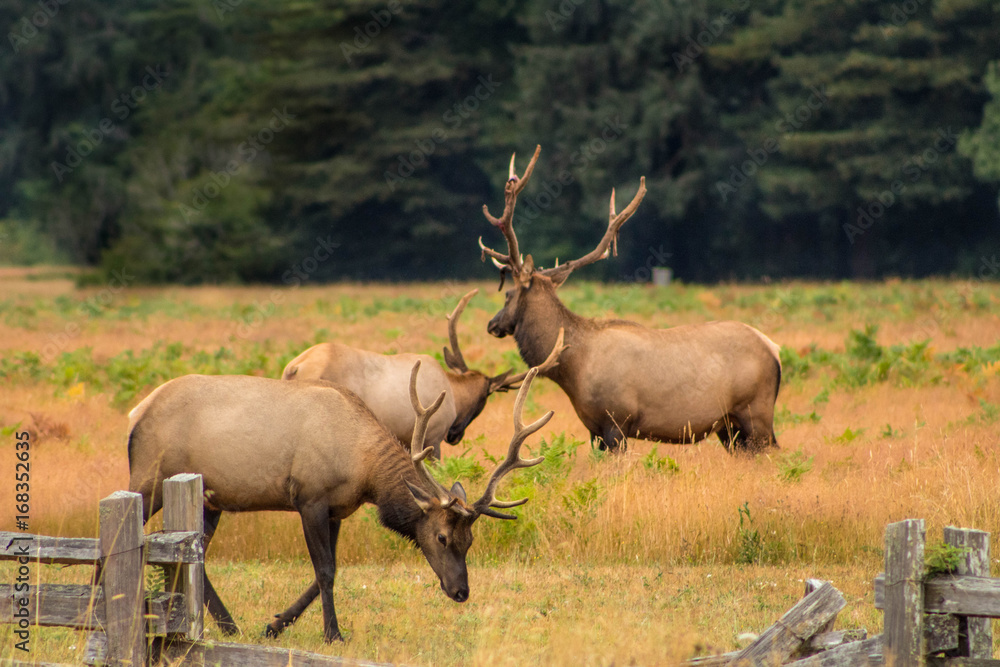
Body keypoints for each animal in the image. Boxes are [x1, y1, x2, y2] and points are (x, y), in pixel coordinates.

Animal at [128, 362, 552, 644]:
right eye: (443, 538)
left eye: (471, 541)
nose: (461, 591)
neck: (363, 471)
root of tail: (136, 413)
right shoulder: (310, 497)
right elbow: (326, 570)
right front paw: (333, 633)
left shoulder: (337, 510)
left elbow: (324, 574)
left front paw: (274, 624)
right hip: (148, 479)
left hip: (210, 500)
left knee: (190, 554)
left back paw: (229, 625)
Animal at [476, 146, 780, 454]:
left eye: (507, 294)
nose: (491, 324)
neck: (574, 369)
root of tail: (774, 349)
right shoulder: (594, 430)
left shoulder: (617, 422)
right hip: (729, 427)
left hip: (756, 413)